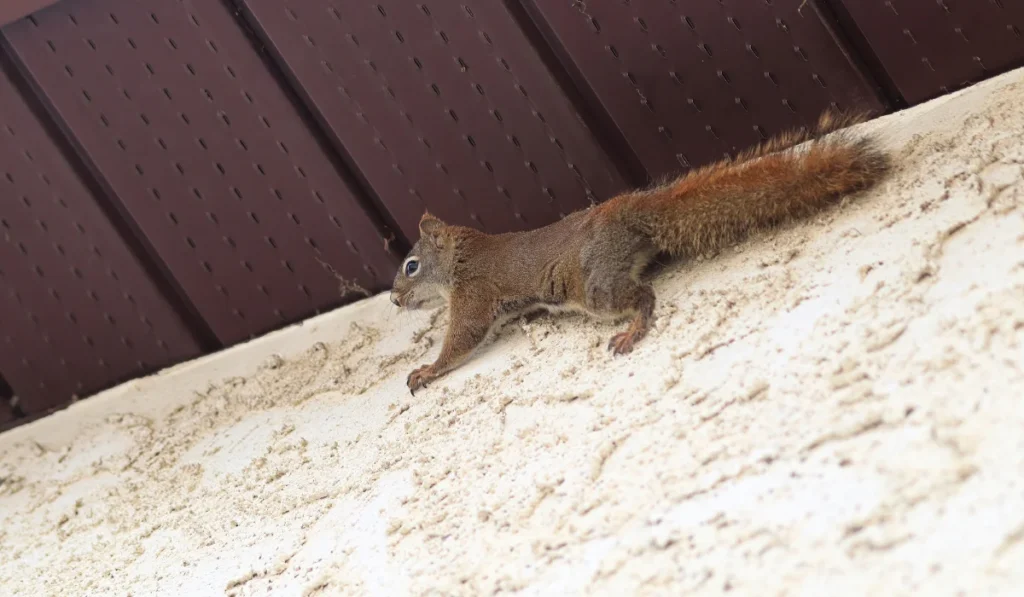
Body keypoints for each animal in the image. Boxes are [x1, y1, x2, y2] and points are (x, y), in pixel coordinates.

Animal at [390, 111, 891, 394]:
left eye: (411, 266)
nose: (394, 299)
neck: (460, 257)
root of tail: (630, 209)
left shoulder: (474, 293)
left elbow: (463, 338)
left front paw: (427, 370)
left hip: (593, 284)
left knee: (641, 295)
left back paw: (633, 329)